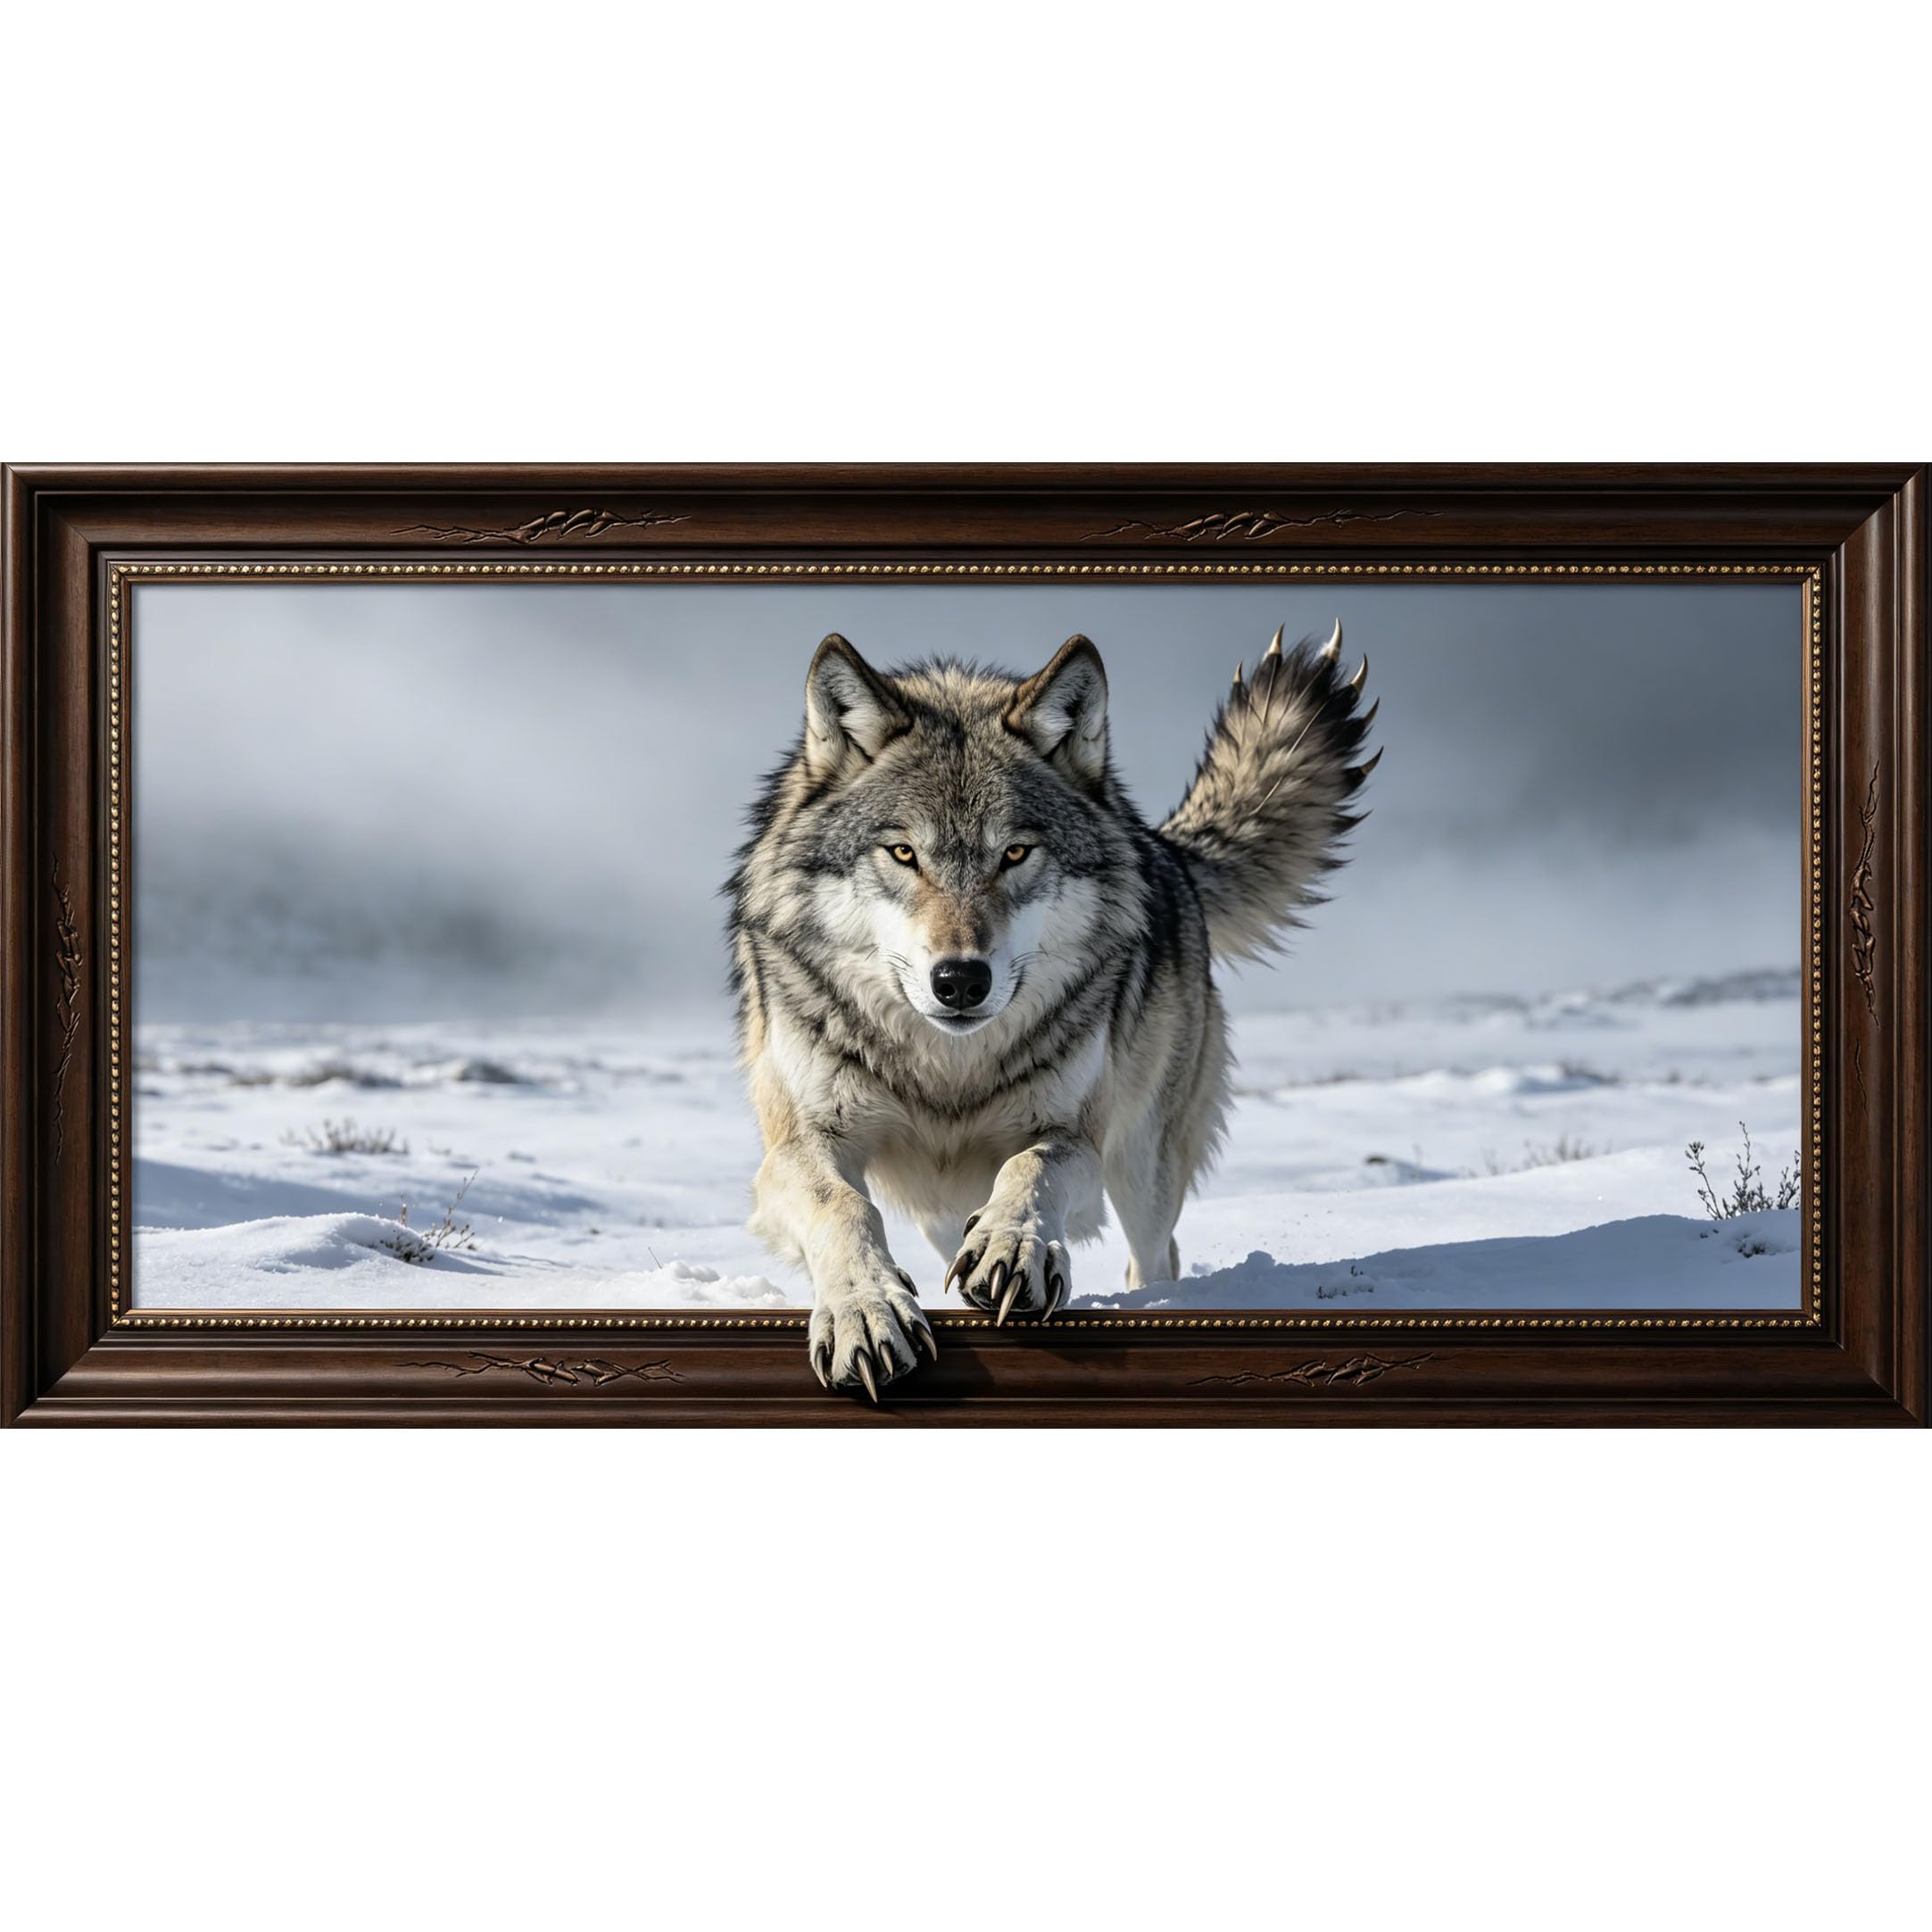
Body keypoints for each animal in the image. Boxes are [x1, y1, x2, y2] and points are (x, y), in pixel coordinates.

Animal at [727, 620, 1378, 1397]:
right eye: (903, 852)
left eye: (1014, 852)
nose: (959, 980)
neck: (948, 1069)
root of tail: (1156, 843)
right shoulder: (800, 1145)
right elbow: (842, 1204)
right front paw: (864, 1309)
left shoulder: (1074, 1137)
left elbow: (1031, 1170)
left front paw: (1015, 1249)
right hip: (945, 1208)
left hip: (1142, 1164)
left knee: (1155, 1253)